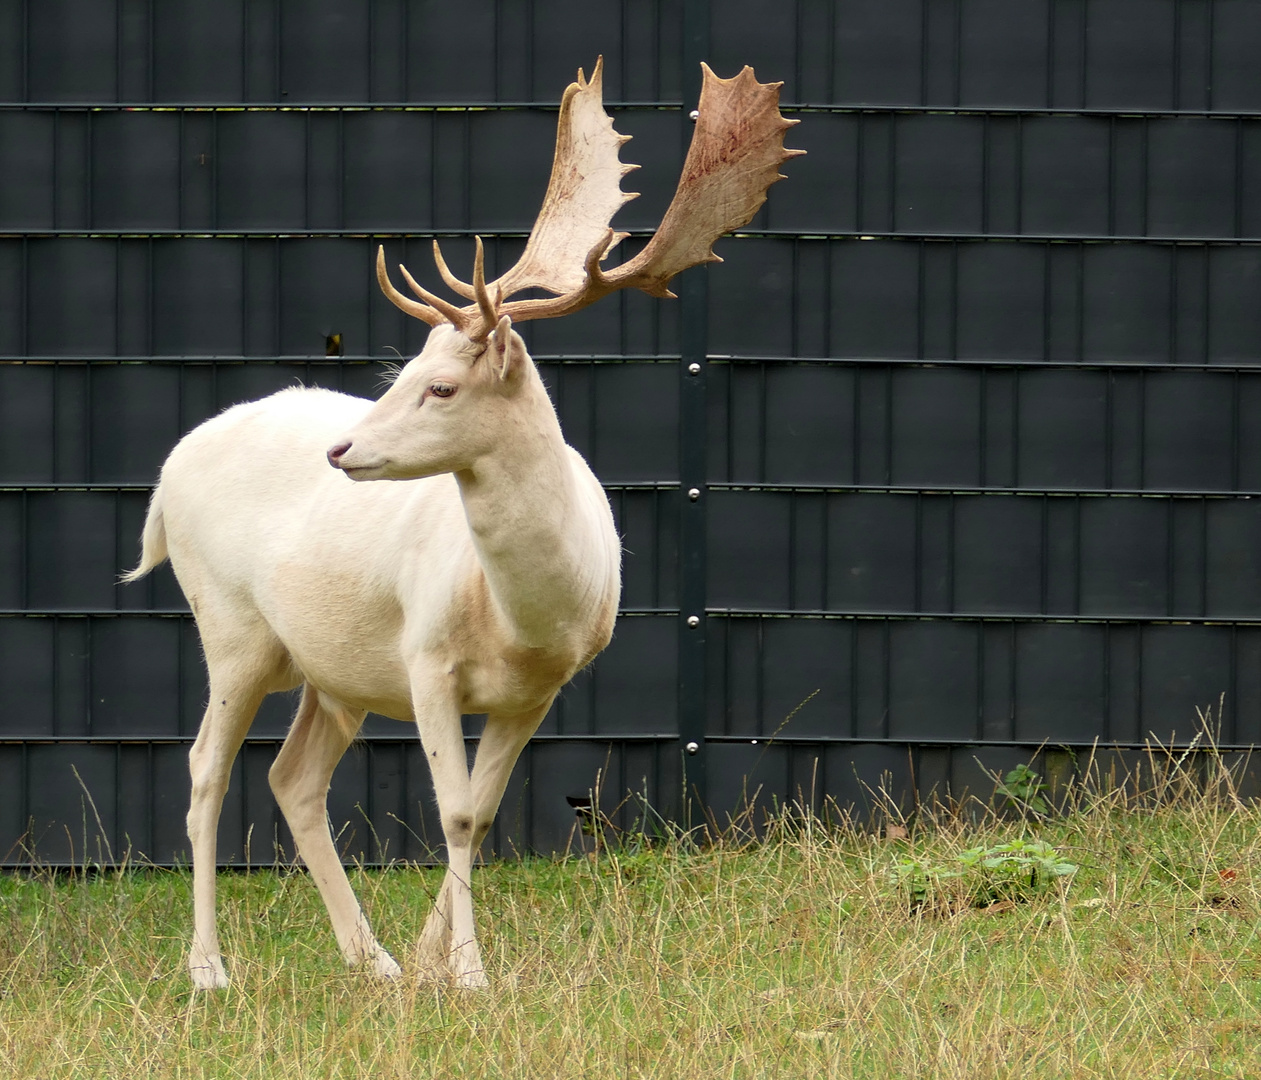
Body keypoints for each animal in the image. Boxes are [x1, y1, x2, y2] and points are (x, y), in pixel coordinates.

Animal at [125, 57, 796, 989]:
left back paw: (372, 961)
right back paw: (209, 970)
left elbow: (478, 813)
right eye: (407, 368)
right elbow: (447, 813)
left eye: (440, 385)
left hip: (332, 668)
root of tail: (169, 472)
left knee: (294, 780)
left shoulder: (542, 689)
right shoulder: (424, 660)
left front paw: (431, 961)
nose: (341, 451)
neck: (523, 618)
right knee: (202, 775)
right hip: (229, 624)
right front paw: (469, 975)